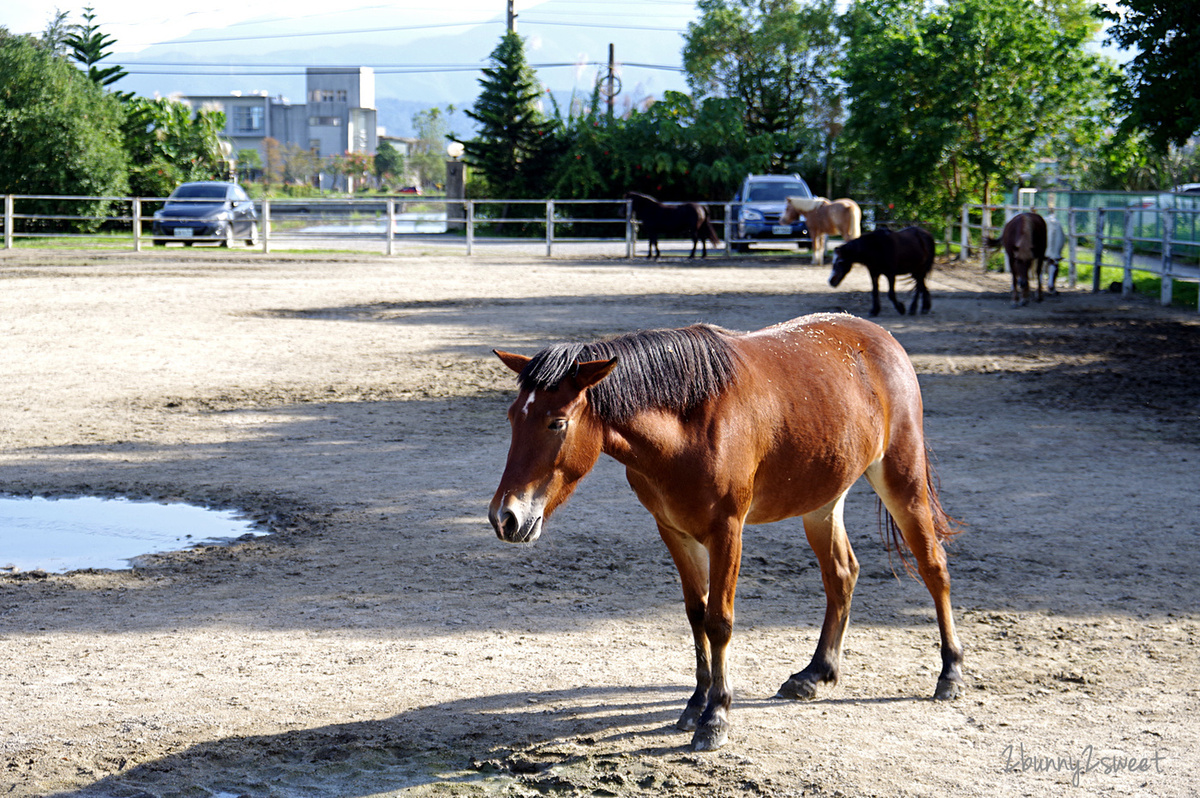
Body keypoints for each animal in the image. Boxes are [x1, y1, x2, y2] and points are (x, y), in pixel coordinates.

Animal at [487, 314, 964, 748]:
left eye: (557, 422)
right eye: (511, 417)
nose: (504, 517)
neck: (689, 424)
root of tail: (880, 337)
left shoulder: (727, 531)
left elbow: (719, 621)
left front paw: (716, 716)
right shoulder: (673, 531)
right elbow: (696, 614)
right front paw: (696, 703)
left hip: (901, 478)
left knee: (933, 566)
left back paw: (950, 672)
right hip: (823, 502)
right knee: (841, 575)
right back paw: (815, 674)